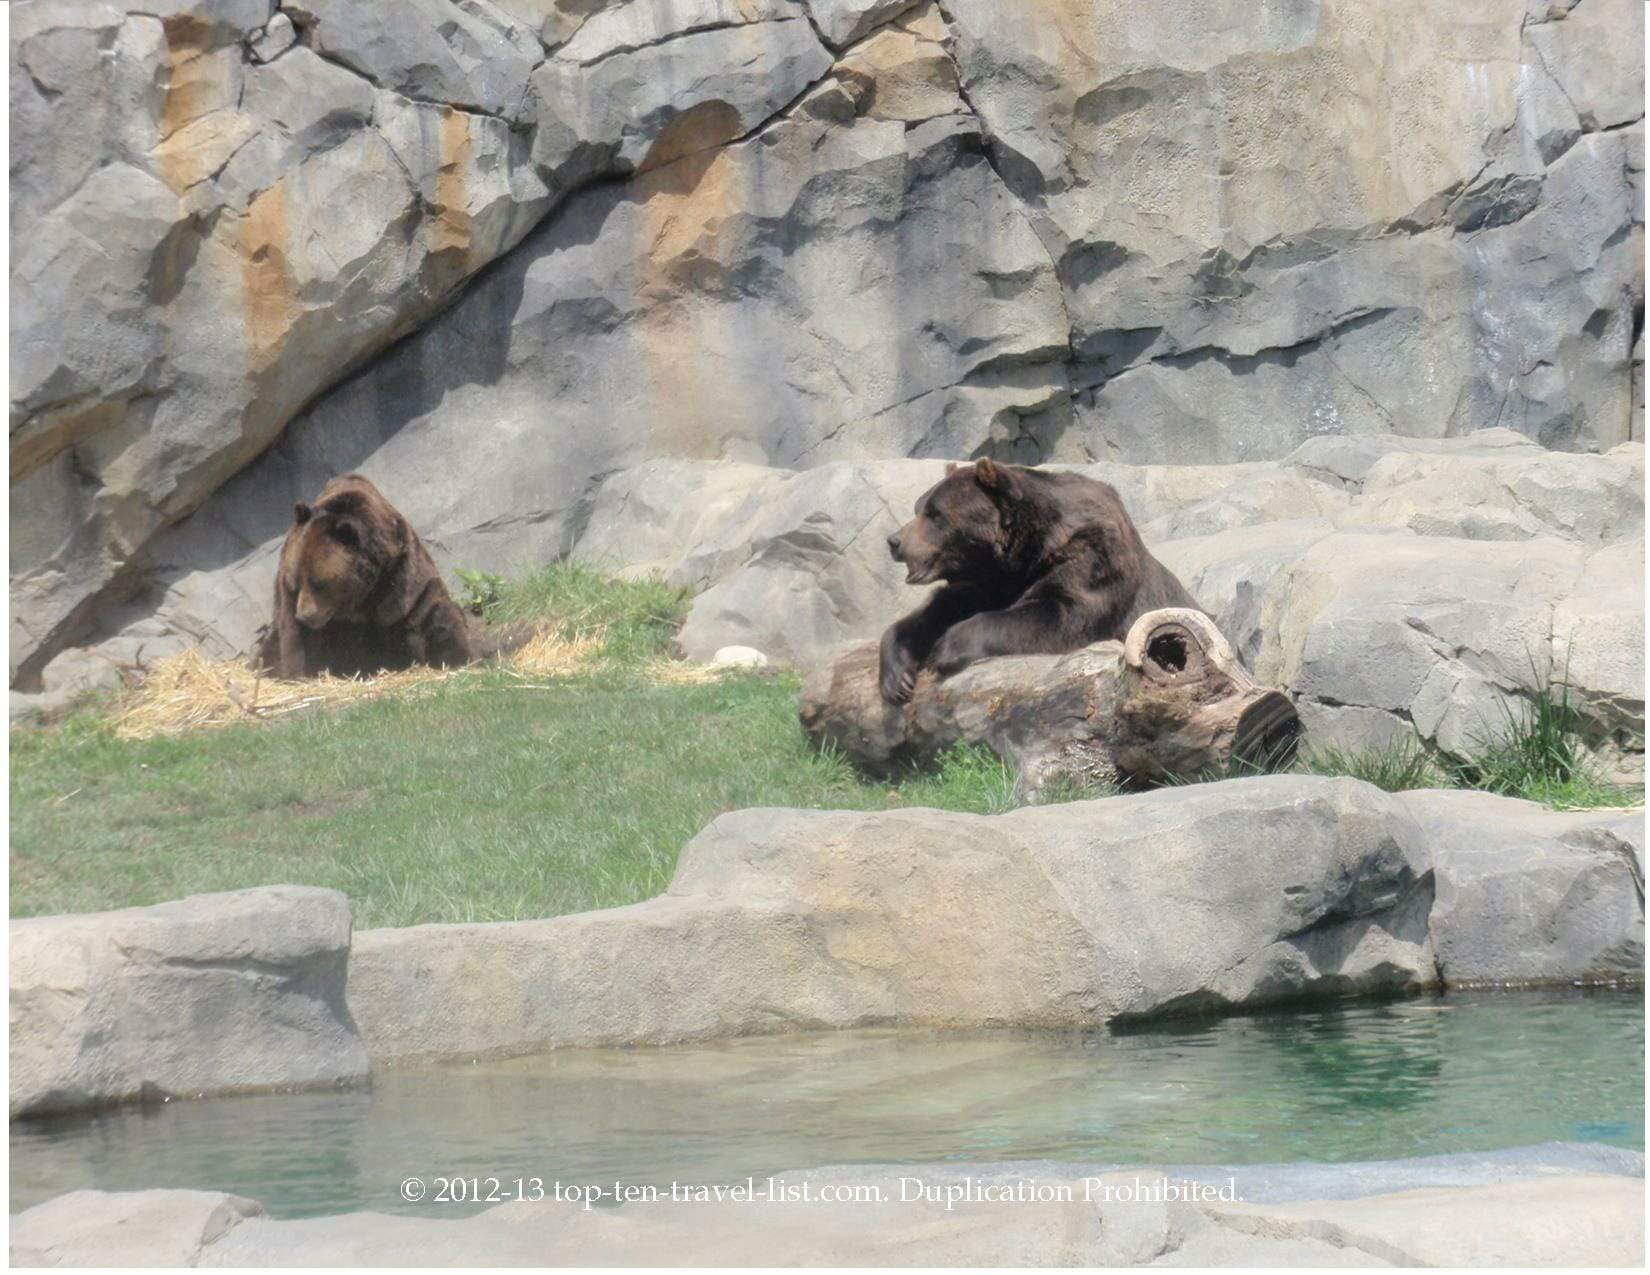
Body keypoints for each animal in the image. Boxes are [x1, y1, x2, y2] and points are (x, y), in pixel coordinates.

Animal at [251, 474, 475, 680]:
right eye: (295, 582)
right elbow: (293, 637)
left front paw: (460, 654)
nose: (305, 616)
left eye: (319, 584)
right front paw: (299, 672)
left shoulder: (399, 573)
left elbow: (428, 612)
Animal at [878, 458, 1202, 703]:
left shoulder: (1093, 560)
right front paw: (897, 677)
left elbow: (1058, 613)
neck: (1024, 555)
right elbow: (940, 608)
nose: (894, 541)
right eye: (919, 508)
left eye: (935, 514)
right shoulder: (989, 581)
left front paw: (945, 648)